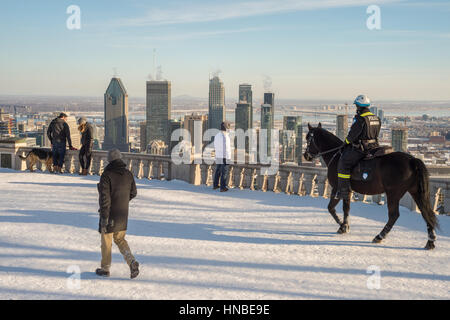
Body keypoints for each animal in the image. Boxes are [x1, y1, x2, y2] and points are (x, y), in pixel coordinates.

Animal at [302, 122, 440, 250]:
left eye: (308, 138)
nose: (306, 156)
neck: (336, 155)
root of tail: (412, 160)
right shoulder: (347, 189)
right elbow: (346, 208)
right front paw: (345, 225)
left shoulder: (337, 188)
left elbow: (331, 208)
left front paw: (342, 226)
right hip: (416, 192)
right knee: (425, 212)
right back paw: (430, 241)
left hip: (393, 194)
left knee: (394, 215)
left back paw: (379, 236)